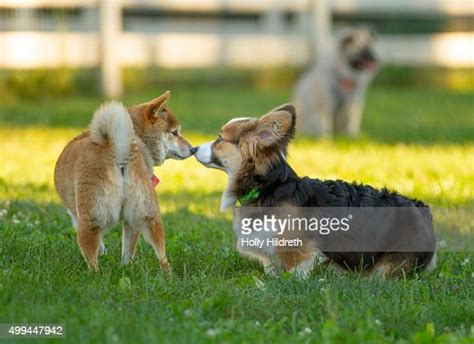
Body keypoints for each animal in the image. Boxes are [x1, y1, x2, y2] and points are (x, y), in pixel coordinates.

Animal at [54, 90, 195, 272]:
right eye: (175, 132)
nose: (193, 149)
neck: (139, 138)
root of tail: (119, 147)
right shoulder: (131, 220)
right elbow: (129, 247)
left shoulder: (74, 214)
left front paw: (102, 251)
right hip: (148, 214)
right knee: (161, 258)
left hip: (91, 218)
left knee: (92, 257)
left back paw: (94, 274)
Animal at [193, 103, 436, 278]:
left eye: (219, 139)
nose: (194, 148)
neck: (268, 187)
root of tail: (421, 208)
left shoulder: (299, 250)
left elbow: (294, 273)